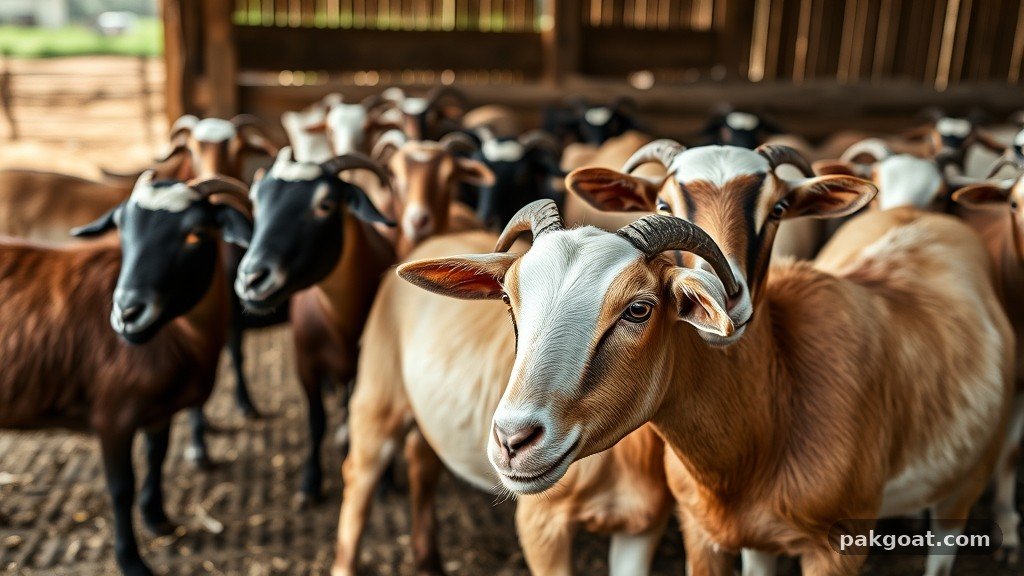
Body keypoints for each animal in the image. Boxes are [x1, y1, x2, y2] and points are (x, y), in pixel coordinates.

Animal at [0, 173, 252, 576]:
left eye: (196, 234)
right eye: (121, 228)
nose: (127, 314)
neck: (182, 337)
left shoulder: (160, 411)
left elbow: (157, 457)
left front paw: (158, 519)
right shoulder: (112, 416)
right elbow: (121, 488)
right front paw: (132, 560)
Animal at [234, 148, 396, 506]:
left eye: (325, 204)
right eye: (256, 201)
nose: (251, 279)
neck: (341, 323)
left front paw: (385, 482)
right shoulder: (305, 363)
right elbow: (316, 421)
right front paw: (310, 483)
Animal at [399, 193, 1015, 575]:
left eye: (639, 308)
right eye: (509, 298)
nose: (513, 440)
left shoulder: (840, 548)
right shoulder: (704, 532)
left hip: (965, 484)